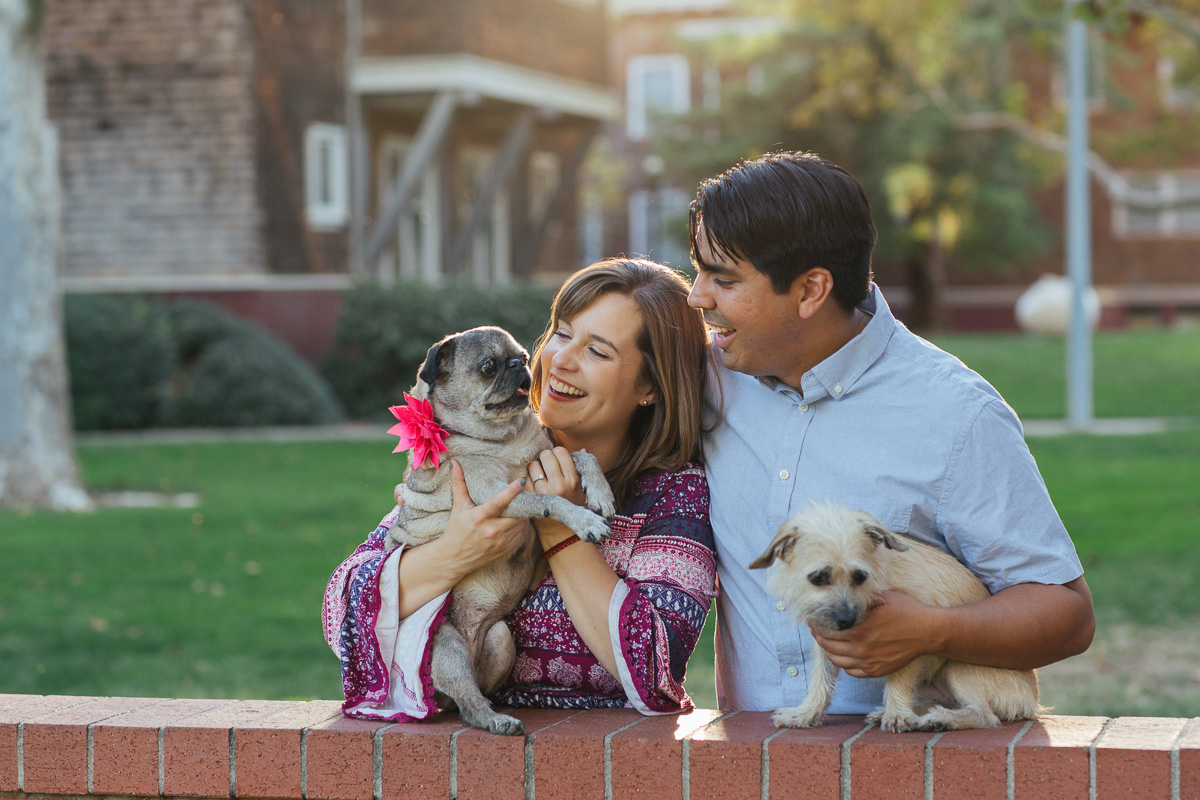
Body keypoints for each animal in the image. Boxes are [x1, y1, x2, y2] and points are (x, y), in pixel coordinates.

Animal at [748, 506, 1041, 734]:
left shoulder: (911, 642)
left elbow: (899, 679)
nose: (846, 620)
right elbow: (821, 680)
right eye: (818, 577)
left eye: (859, 576)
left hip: (959, 664)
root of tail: (1032, 701)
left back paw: (940, 719)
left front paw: (898, 713)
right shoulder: (825, 643)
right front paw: (806, 713)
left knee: (985, 715)